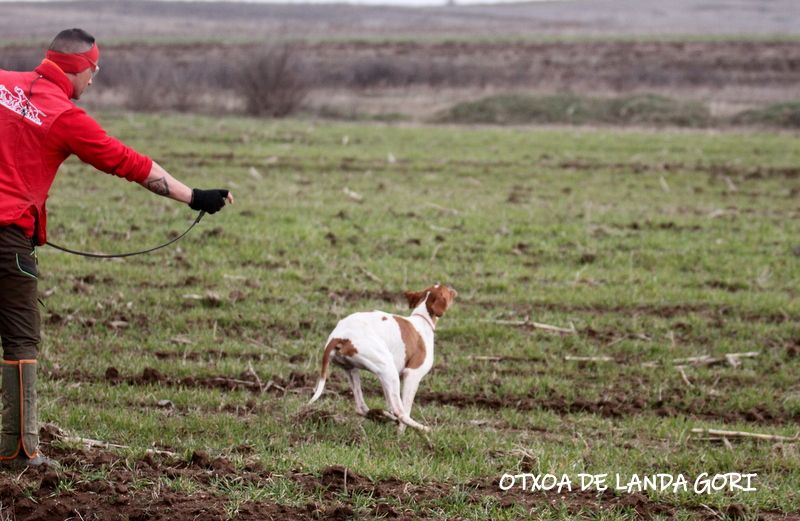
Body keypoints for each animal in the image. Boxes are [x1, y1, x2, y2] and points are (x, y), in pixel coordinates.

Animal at [306, 282, 456, 432]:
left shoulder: (385, 380)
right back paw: (425, 429)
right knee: (400, 412)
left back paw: (382, 416)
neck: (422, 319)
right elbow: (405, 409)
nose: (454, 290)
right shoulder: (412, 374)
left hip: (355, 371)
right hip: (388, 370)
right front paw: (400, 433)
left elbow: (390, 404)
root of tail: (338, 336)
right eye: (447, 291)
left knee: (362, 407)